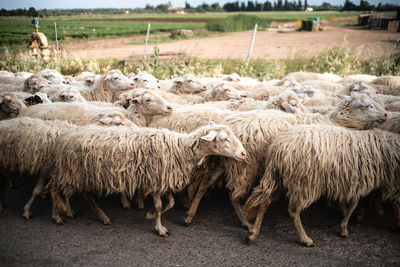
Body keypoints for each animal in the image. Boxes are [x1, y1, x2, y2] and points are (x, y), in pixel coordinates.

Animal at [48, 121, 245, 237]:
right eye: (224, 139)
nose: (244, 154)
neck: (180, 149)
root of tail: (64, 138)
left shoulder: (162, 181)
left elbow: (170, 203)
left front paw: (150, 215)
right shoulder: (156, 180)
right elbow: (159, 206)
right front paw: (160, 228)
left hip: (78, 173)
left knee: (74, 193)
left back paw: (77, 212)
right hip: (73, 171)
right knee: (56, 190)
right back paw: (58, 216)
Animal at [184, 93, 388, 227]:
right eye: (367, 106)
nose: (386, 114)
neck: (335, 122)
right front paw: (346, 212)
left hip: (223, 161)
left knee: (204, 184)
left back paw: (189, 216)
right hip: (245, 166)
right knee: (233, 195)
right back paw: (246, 222)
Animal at [244, 125, 400, 247]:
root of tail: (278, 147)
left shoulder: (359, 181)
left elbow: (356, 203)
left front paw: (348, 223)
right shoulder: (377, 181)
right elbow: (391, 204)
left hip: (280, 178)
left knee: (265, 202)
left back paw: (253, 234)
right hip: (304, 182)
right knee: (293, 211)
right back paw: (306, 239)